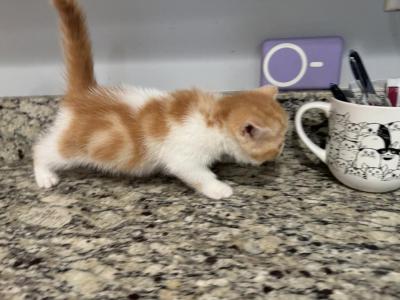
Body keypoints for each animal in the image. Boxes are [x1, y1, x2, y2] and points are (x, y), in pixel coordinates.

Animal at [32, 0, 286, 199]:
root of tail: (86, 93)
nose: (281, 151)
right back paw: (44, 174)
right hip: (73, 145)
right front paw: (219, 188)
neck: (215, 115)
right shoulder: (182, 156)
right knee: (42, 149)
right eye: (279, 142)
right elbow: (198, 174)